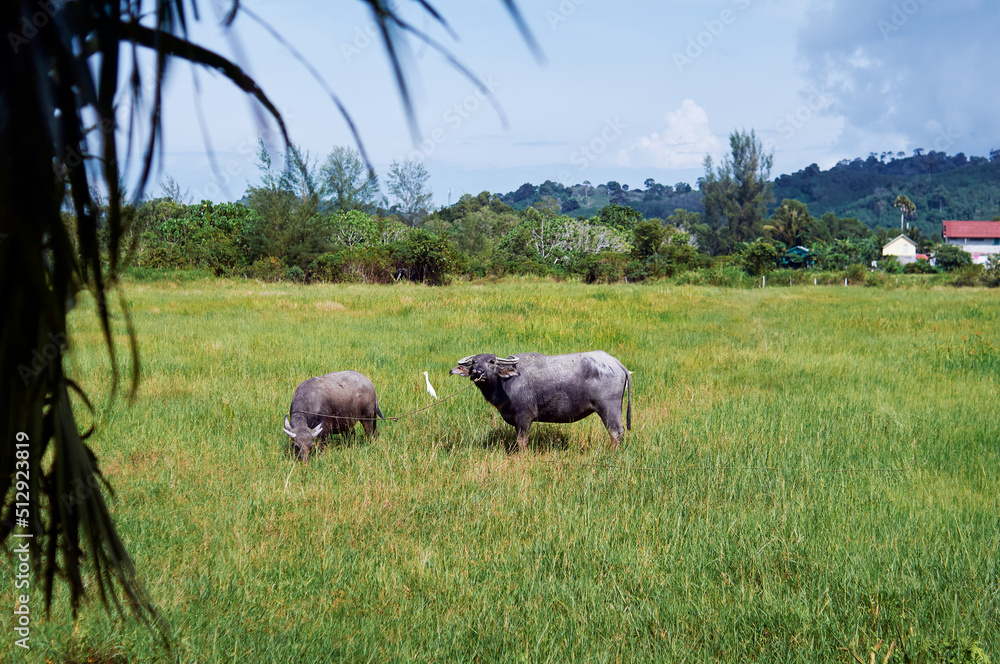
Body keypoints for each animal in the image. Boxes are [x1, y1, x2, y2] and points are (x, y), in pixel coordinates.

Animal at [450, 351, 632, 451]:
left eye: (492, 361)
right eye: (474, 362)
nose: (477, 373)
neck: (507, 383)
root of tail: (615, 363)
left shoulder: (524, 417)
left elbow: (522, 441)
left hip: (608, 409)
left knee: (616, 432)